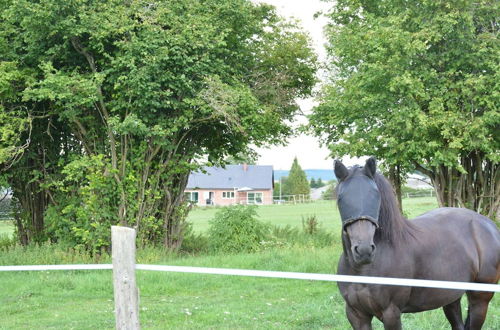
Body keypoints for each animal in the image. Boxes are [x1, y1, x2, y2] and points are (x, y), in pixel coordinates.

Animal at [334, 158, 498, 330]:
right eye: (341, 198)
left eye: (376, 195)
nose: (364, 250)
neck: (362, 270)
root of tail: (488, 225)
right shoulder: (356, 314)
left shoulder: (391, 313)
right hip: (451, 297)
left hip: (480, 300)